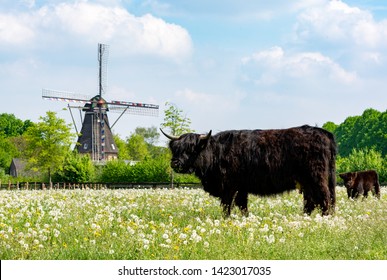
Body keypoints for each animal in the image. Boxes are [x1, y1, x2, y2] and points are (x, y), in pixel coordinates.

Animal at [161, 125, 336, 217]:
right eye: (175, 148)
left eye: (191, 149)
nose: (174, 162)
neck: (217, 153)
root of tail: (323, 132)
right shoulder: (242, 187)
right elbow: (242, 205)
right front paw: (245, 218)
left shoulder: (229, 185)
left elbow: (227, 204)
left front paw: (226, 219)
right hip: (307, 181)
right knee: (311, 200)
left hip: (316, 177)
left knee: (324, 198)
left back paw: (324, 218)